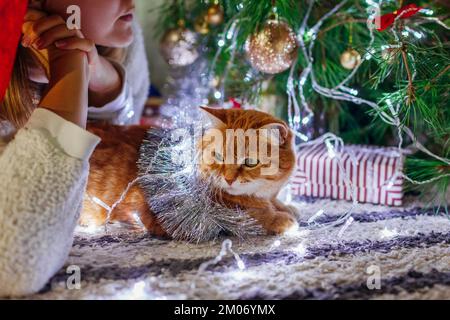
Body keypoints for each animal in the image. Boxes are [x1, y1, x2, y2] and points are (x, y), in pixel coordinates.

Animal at [81, 108, 298, 238]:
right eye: (218, 156)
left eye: (250, 162)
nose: (228, 179)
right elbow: (250, 216)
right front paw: (280, 219)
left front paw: (285, 207)